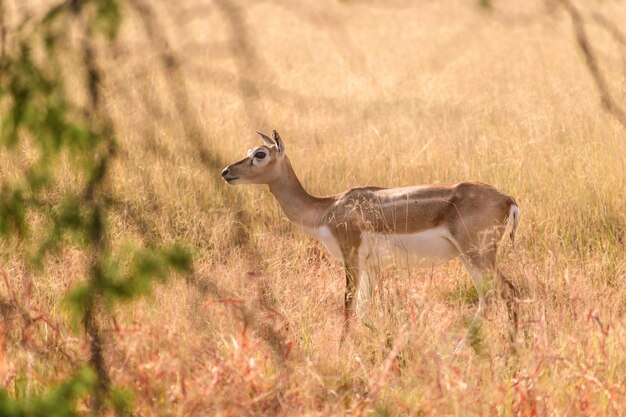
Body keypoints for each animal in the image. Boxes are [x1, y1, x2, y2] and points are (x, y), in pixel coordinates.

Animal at [222, 130, 520, 352]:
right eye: (249, 150)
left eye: (260, 154)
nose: (226, 172)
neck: (327, 209)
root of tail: (508, 200)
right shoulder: (372, 264)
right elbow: (364, 308)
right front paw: (392, 343)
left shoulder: (350, 255)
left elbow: (348, 304)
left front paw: (341, 350)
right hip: (473, 257)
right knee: (495, 296)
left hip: (477, 254)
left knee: (504, 293)